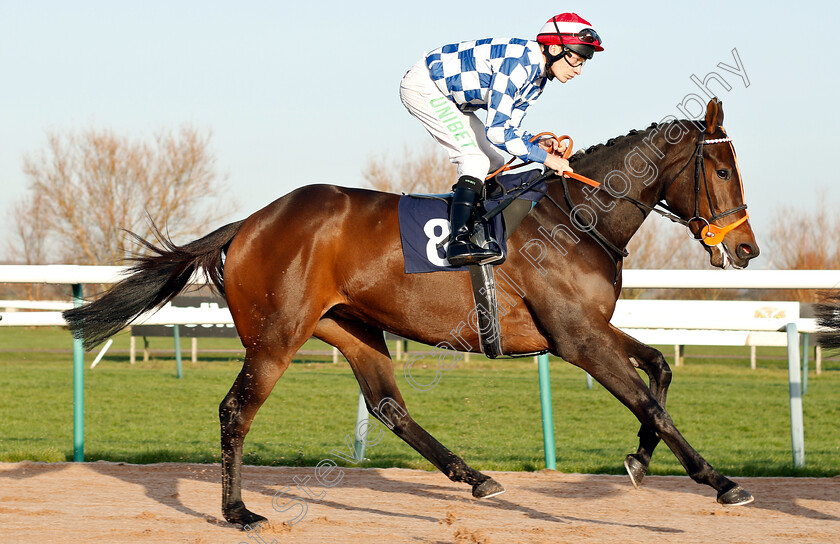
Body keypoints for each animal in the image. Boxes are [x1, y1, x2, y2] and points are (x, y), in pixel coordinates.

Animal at [64, 98, 760, 528]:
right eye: (724, 169)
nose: (747, 250)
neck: (576, 219)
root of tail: (249, 222)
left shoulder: (591, 328)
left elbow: (659, 369)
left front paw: (640, 460)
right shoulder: (575, 338)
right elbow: (650, 401)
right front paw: (720, 480)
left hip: (351, 327)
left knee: (388, 406)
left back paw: (473, 476)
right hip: (277, 335)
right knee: (238, 408)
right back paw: (238, 512)